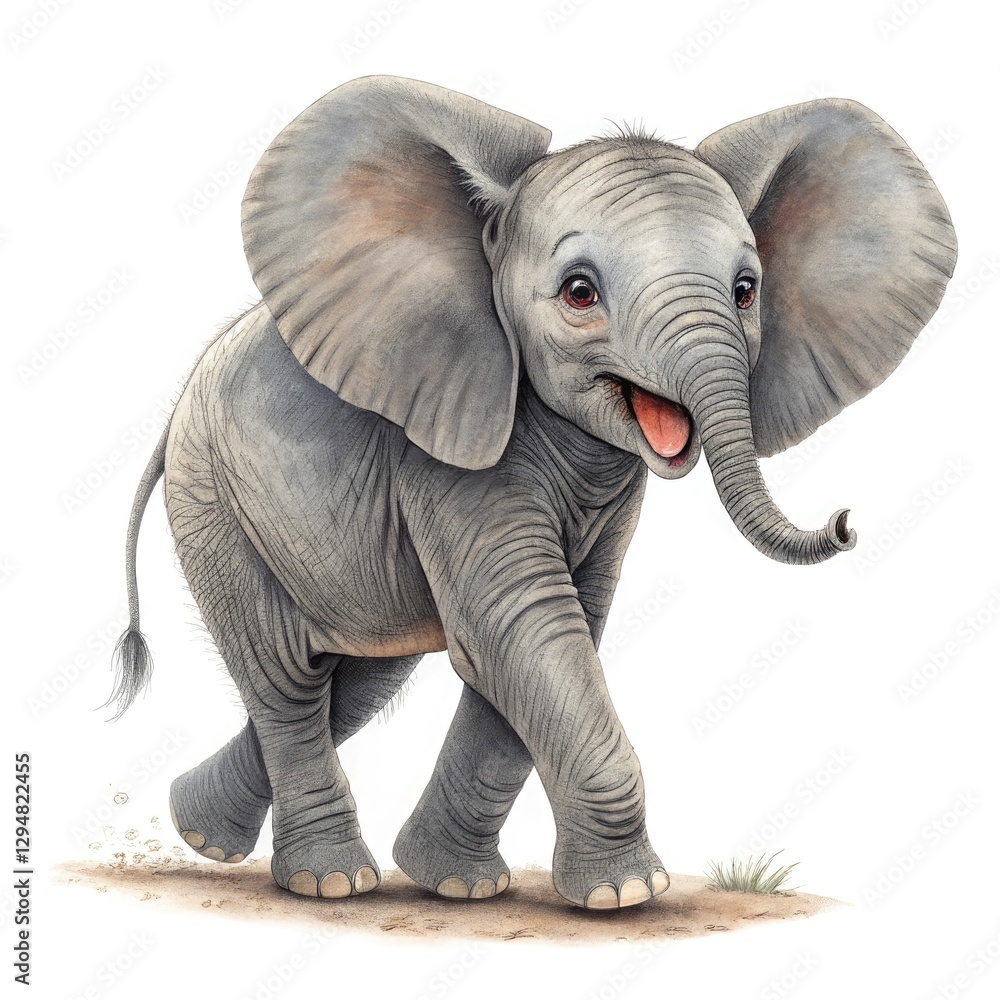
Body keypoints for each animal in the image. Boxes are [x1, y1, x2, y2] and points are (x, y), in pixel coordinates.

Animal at [109, 76, 955, 909]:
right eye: (579, 293)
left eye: (747, 292)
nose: (845, 521)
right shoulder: (446, 459)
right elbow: (518, 626)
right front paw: (627, 894)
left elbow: (551, 632)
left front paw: (457, 885)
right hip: (213, 498)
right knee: (287, 676)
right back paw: (330, 881)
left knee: (354, 682)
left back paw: (201, 830)